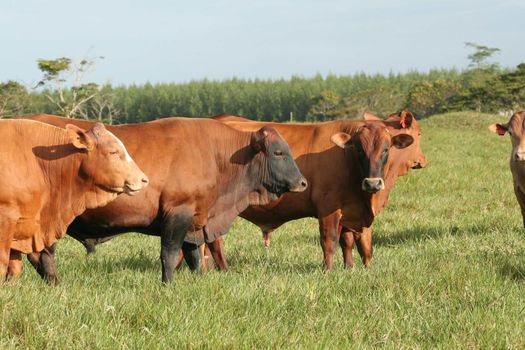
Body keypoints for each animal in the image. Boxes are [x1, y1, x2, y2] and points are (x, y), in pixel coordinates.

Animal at [23, 115, 308, 284]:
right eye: (278, 152)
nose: (303, 182)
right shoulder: (177, 213)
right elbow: (169, 255)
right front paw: (167, 284)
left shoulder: (195, 220)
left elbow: (194, 256)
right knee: (43, 254)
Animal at [203, 110, 424, 270]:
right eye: (360, 149)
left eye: (386, 148)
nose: (372, 183)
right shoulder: (328, 208)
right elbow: (330, 240)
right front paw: (328, 270)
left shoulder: (349, 211)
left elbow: (350, 242)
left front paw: (350, 268)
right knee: (212, 242)